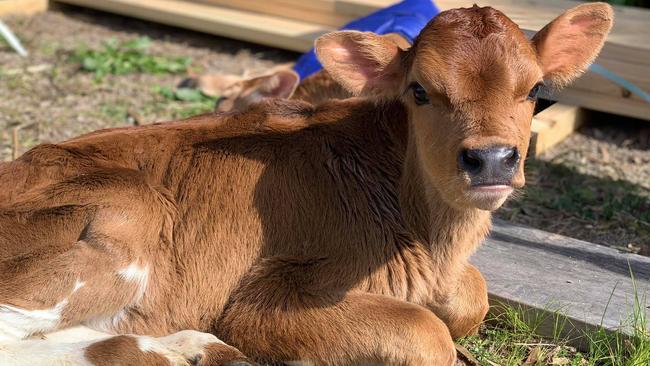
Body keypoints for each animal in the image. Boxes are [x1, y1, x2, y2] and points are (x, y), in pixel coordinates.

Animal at [0, 3, 608, 366]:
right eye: (419, 91)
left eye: (535, 91)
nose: (491, 160)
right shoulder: (263, 297)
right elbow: (425, 332)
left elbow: (471, 296)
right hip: (130, 215)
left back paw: (185, 348)